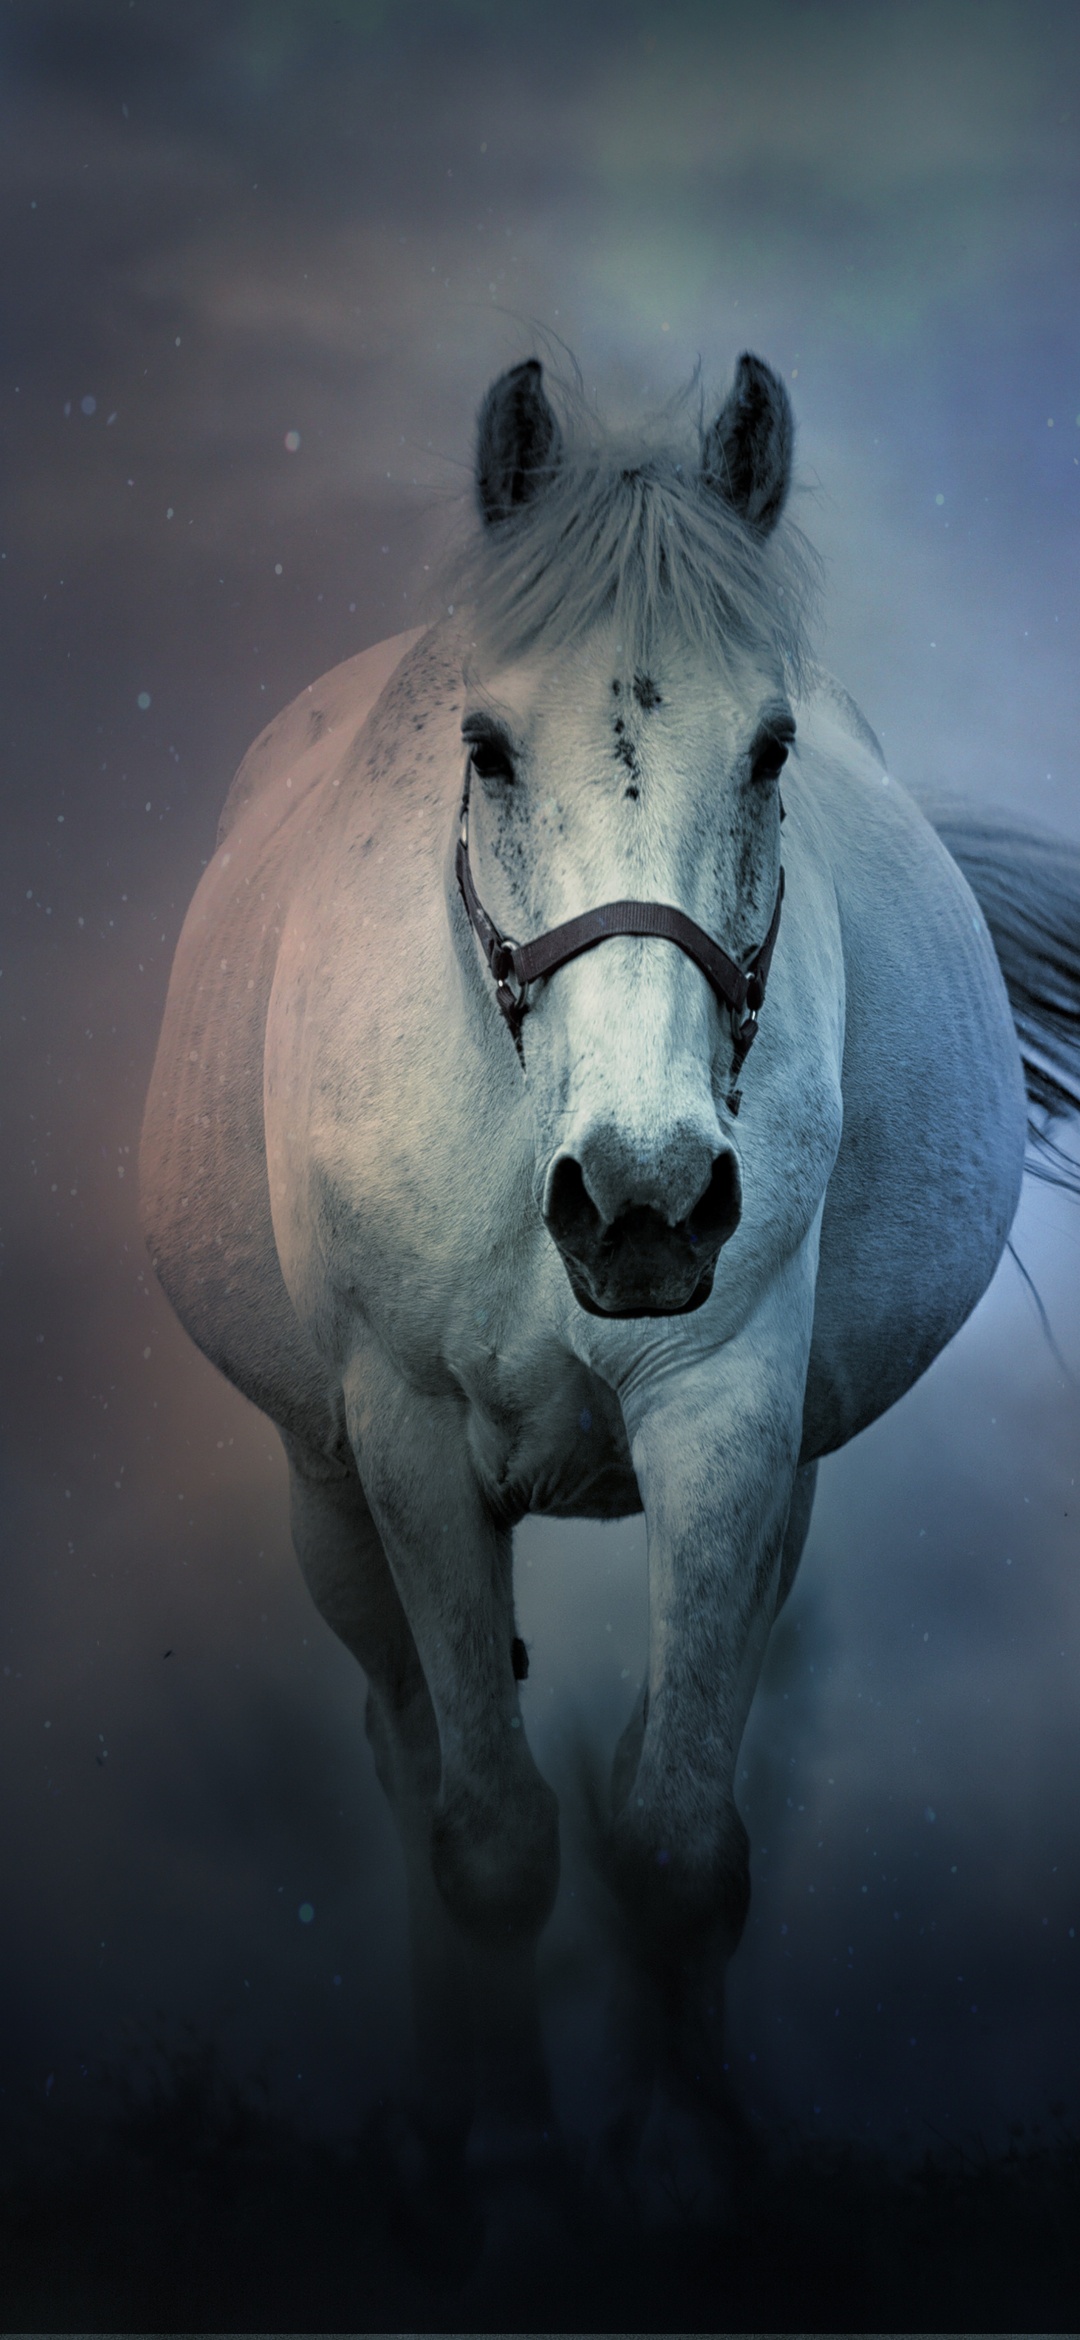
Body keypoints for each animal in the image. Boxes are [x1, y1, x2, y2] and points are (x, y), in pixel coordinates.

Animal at [140, 351, 1080, 2219]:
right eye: (487, 748)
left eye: (773, 748)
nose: (642, 1205)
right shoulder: (408, 1442)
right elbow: (492, 1835)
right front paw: (508, 2167)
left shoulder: (729, 1425)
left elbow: (675, 1833)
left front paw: (689, 2167)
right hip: (323, 1494)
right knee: (410, 1755)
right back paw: (444, 2115)